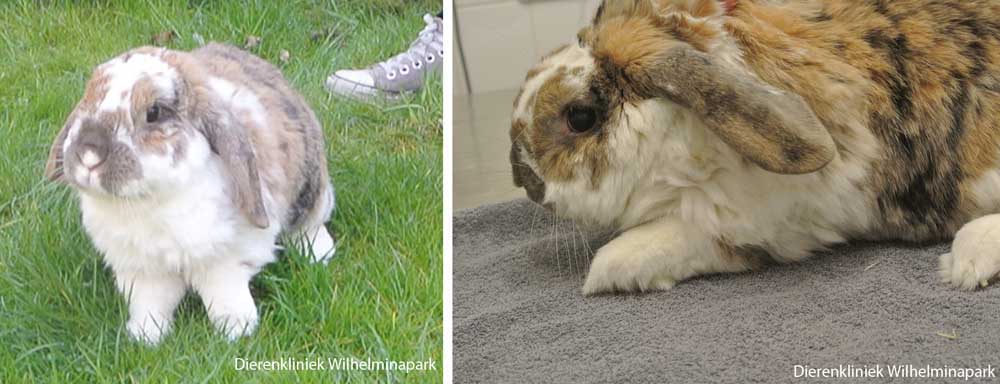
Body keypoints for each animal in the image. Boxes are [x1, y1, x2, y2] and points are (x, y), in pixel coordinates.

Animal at [44, 43, 336, 344]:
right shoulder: (144, 273)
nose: (89, 153)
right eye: (89, 98)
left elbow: (226, 297)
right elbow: (150, 304)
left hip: (311, 189)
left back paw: (318, 254)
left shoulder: (226, 262)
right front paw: (145, 337)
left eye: (154, 112)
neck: (147, 202)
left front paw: (237, 331)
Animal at [508, 0, 1000, 294]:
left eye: (580, 116)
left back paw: (966, 264)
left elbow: (653, 243)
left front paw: (601, 276)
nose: (520, 175)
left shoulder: (755, 223)